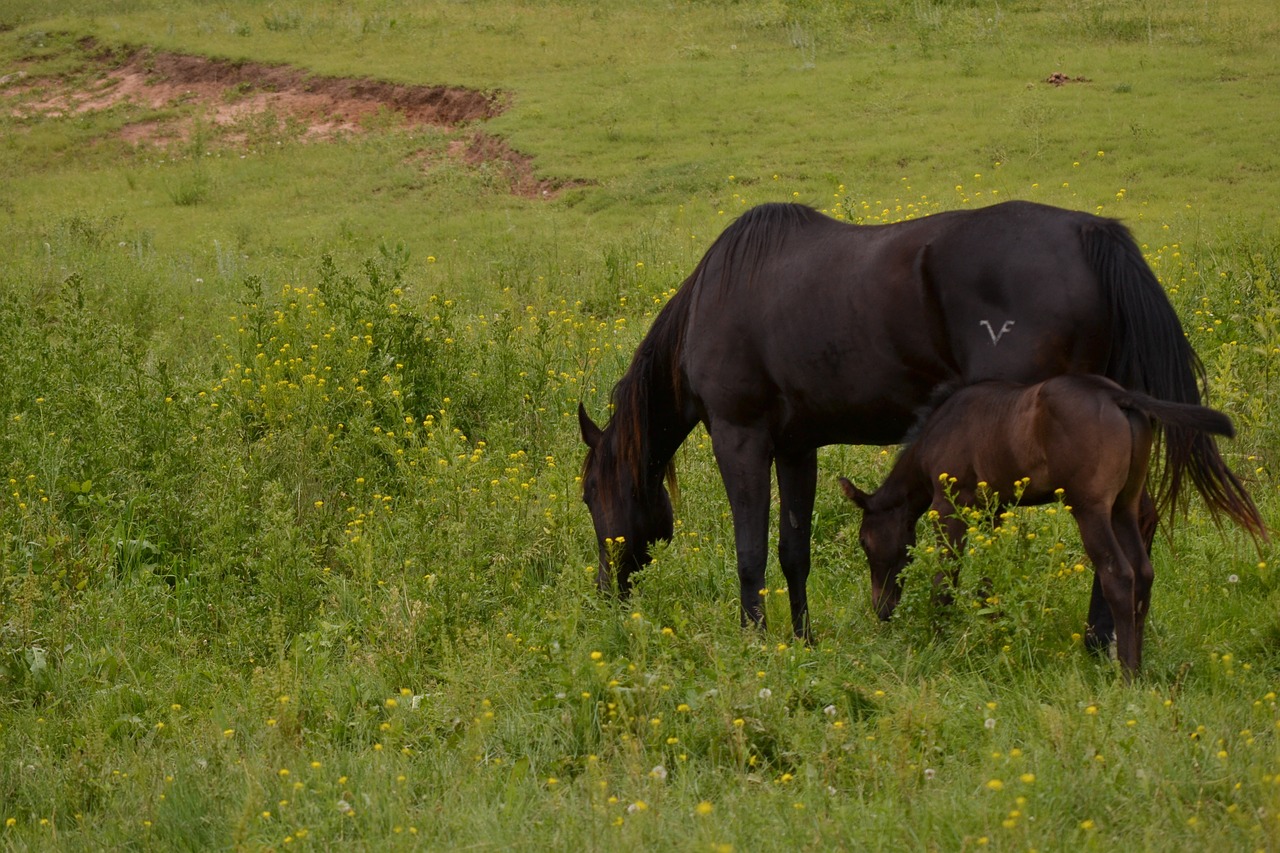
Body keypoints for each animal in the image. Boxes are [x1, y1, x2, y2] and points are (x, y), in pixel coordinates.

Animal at [583, 199, 1269, 640]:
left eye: (591, 494)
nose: (604, 592)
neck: (716, 295)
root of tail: (1091, 232)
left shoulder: (740, 436)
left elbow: (749, 551)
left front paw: (754, 644)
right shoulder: (797, 446)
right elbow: (792, 550)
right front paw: (801, 641)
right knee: (1138, 521)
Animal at [834, 376, 1264, 676]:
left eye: (864, 541)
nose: (882, 609)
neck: (932, 436)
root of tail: (1121, 397)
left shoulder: (951, 504)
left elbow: (946, 577)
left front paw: (939, 637)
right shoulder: (996, 508)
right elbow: (989, 576)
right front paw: (992, 628)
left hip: (1090, 507)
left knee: (1119, 574)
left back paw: (1126, 674)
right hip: (1123, 505)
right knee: (1143, 571)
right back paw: (1137, 664)